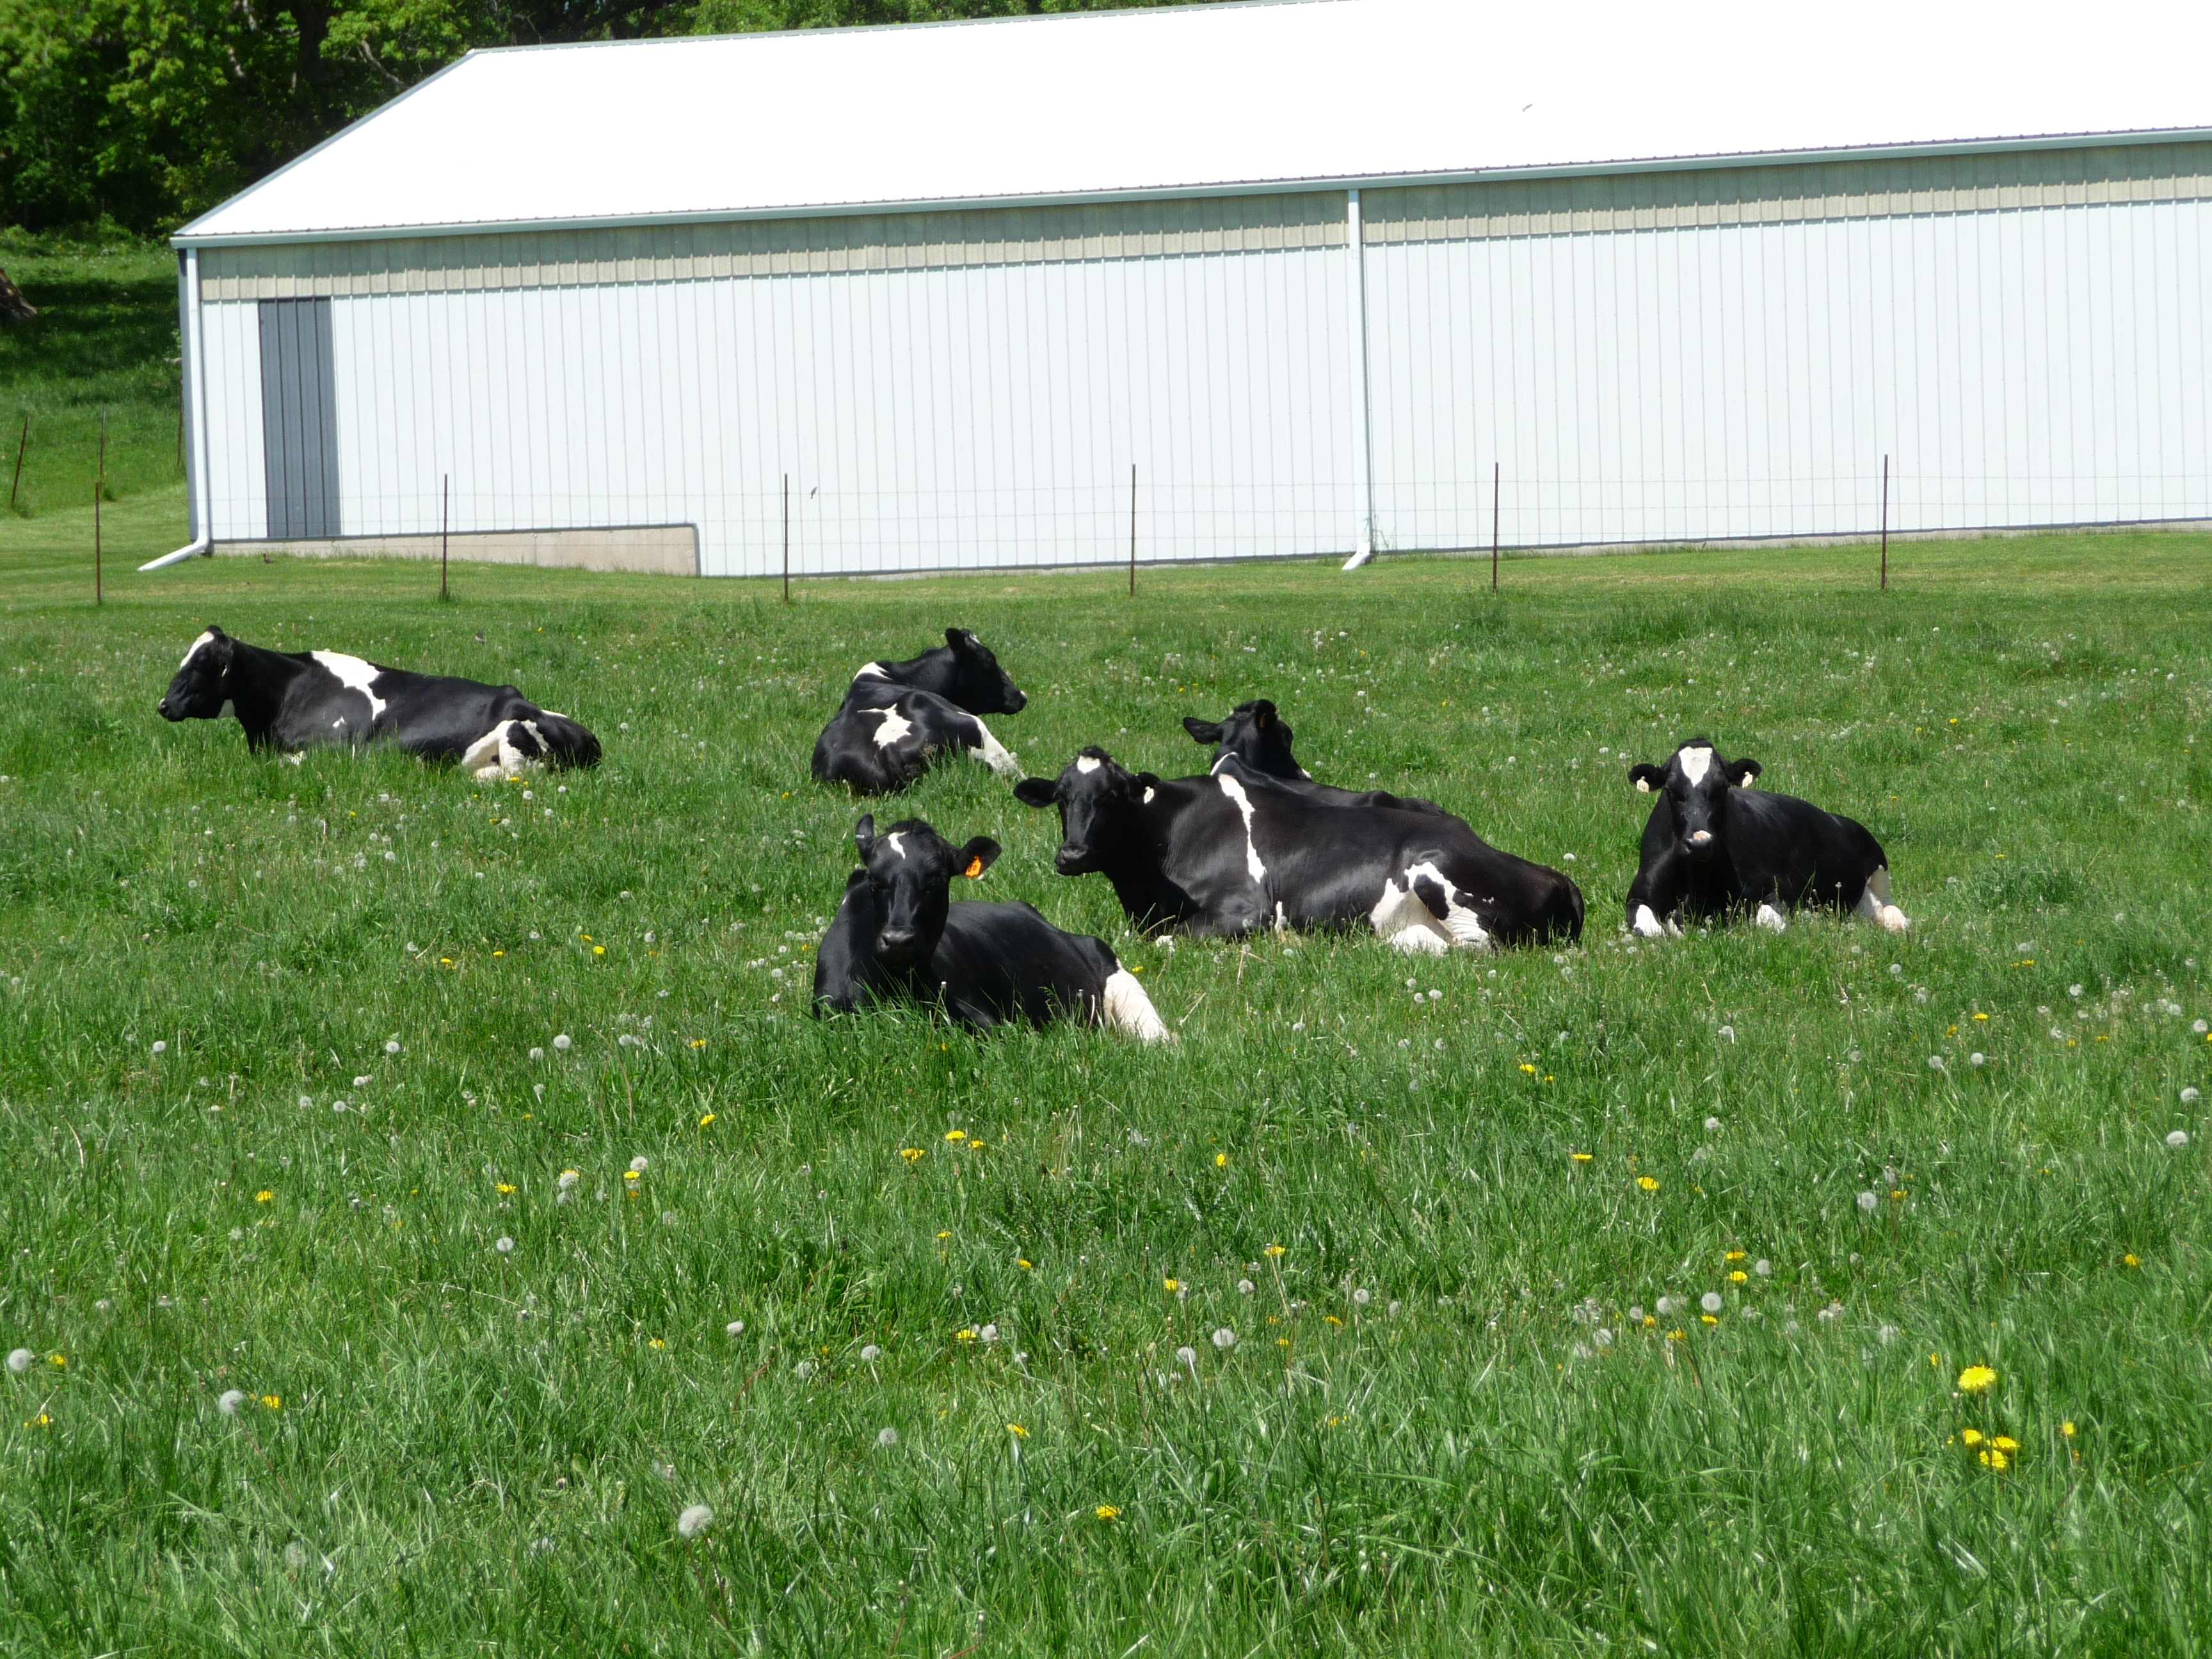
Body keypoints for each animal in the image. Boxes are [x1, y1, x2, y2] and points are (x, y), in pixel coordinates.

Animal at [1011, 748, 1583, 951]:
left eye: (1111, 795)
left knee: (1474, 946)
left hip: (1434, 871)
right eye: (1061, 797)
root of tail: (1556, 877)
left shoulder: (1246, 910)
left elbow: (1167, 939)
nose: (1072, 855)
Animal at [1624, 739, 1909, 937]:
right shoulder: (1637, 896)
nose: (1700, 843)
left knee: (1889, 907)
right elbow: (1653, 932)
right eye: (1671, 791)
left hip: (1877, 864)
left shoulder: (1772, 890)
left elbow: (1769, 926)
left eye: (1723, 788)